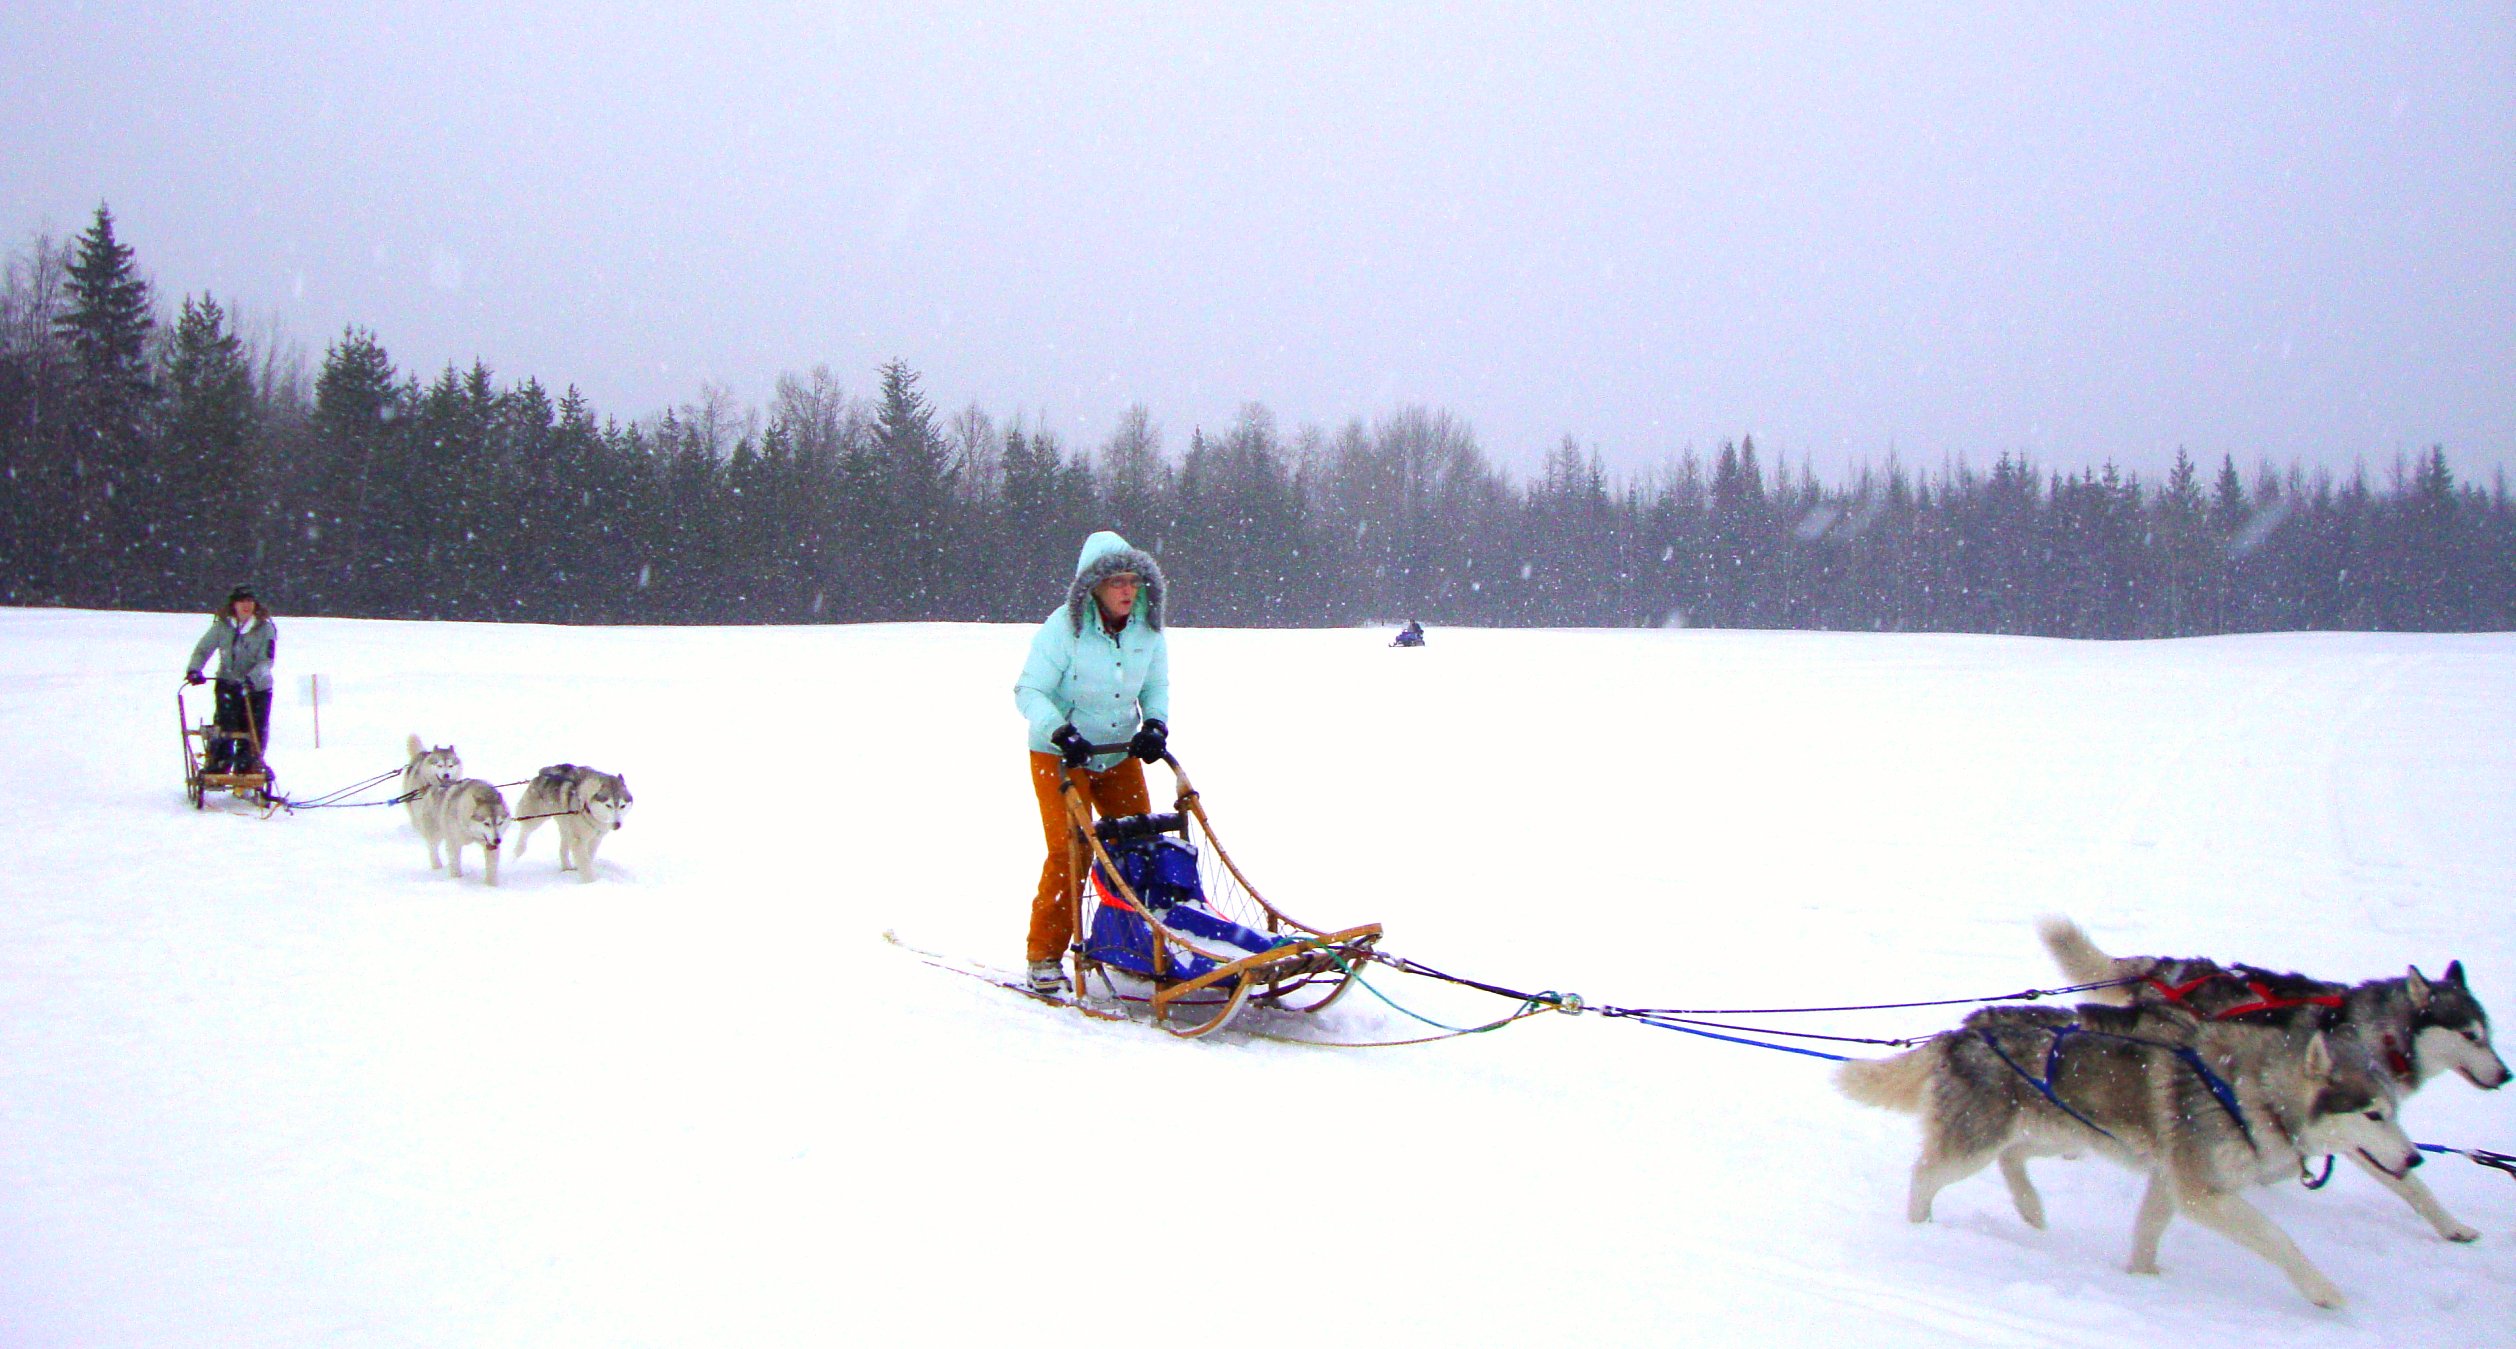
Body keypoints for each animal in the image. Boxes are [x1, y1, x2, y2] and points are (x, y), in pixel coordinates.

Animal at [1851, 1001, 2415, 1308]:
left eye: (2396, 1110)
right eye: (2373, 1115)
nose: (2415, 1160)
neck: (2249, 1093)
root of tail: (1965, 1028)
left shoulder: (2170, 1180)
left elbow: (2147, 1232)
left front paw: (2143, 1280)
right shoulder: (2200, 1192)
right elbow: (2277, 1239)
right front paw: (2323, 1291)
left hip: (2066, 1133)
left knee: (2014, 1158)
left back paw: (2031, 1210)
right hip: (1977, 1144)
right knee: (1924, 1174)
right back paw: (1921, 1228)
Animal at [2042, 916, 2495, 1243]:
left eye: (2488, 1034)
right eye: (2471, 1035)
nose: (2504, 1073)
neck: (2379, 1035)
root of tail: (2164, 968)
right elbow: (2411, 1183)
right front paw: (2451, 1225)